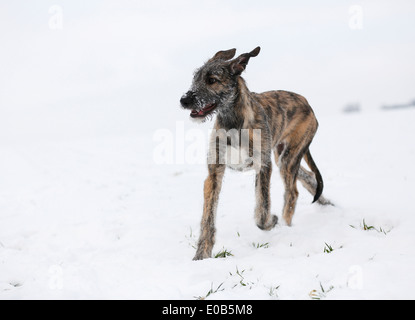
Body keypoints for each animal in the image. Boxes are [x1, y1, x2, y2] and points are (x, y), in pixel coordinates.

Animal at [180, 48, 332, 262]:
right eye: (195, 78)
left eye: (212, 80)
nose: (184, 100)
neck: (233, 122)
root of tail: (306, 103)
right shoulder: (214, 172)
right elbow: (207, 218)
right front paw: (201, 255)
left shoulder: (263, 166)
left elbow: (262, 209)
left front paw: (271, 221)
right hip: (283, 156)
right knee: (309, 177)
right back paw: (328, 204)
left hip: (288, 157)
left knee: (292, 192)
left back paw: (285, 226)